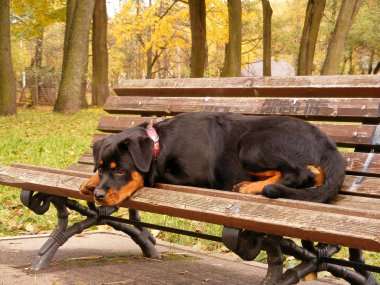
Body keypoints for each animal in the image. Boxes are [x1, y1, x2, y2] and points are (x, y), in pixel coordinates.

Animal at [78, 112, 346, 205]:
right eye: (101, 169)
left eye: (121, 170)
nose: (99, 196)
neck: (159, 144)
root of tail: (328, 143)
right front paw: (89, 181)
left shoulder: (194, 176)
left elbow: (155, 174)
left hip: (250, 145)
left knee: (300, 173)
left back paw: (251, 187)